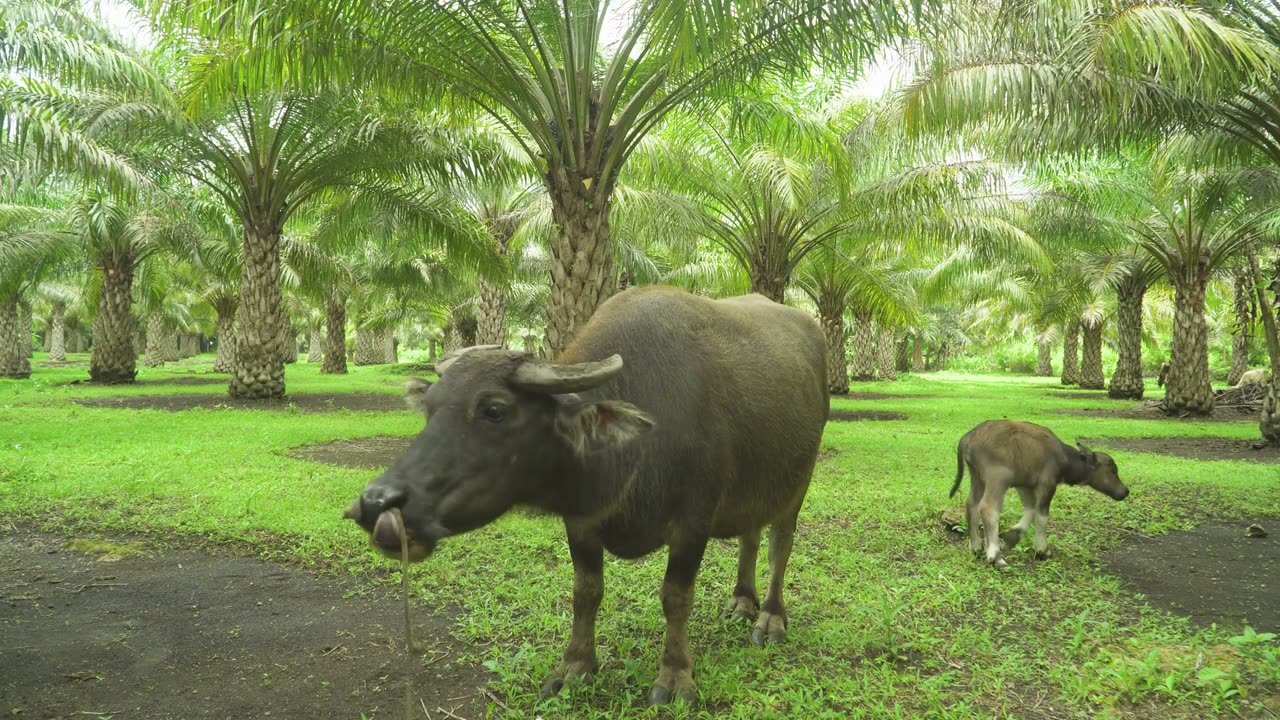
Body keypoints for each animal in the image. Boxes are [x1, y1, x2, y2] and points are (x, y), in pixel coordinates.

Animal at [340, 284, 829, 702]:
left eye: (495, 410)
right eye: (431, 407)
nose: (376, 503)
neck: (632, 449)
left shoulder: (693, 523)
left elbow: (675, 597)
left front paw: (674, 677)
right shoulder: (581, 522)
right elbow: (586, 591)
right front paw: (574, 667)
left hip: (799, 482)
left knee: (779, 545)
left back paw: (770, 615)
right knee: (750, 534)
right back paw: (742, 602)